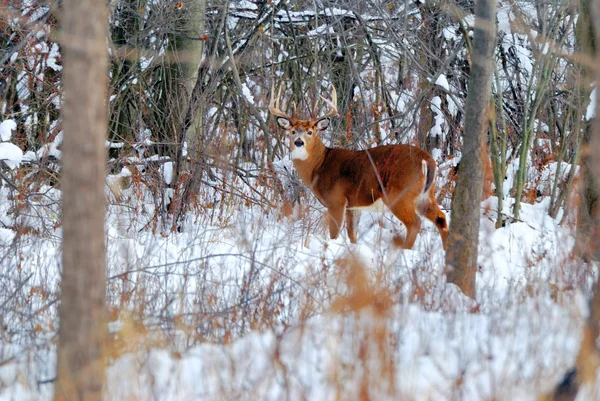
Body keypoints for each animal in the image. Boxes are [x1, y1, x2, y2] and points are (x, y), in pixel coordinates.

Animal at [270, 85, 448, 248]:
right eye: (293, 131)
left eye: (310, 132)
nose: (298, 142)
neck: (319, 165)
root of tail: (427, 160)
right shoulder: (353, 206)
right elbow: (352, 235)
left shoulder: (336, 200)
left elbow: (334, 234)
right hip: (425, 194)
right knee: (441, 218)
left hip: (399, 193)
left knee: (415, 222)